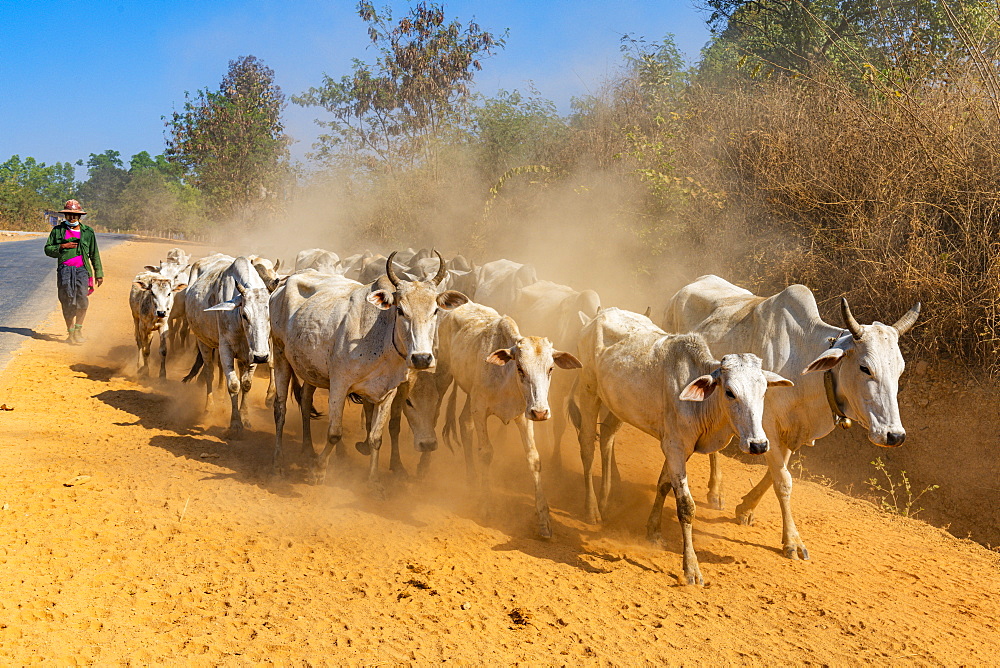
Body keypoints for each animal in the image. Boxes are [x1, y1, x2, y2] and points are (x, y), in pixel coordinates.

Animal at [266, 250, 468, 490]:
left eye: (435, 310)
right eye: (400, 310)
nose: (422, 358)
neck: (382, 339)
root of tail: (285, 281)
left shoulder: (387, 393)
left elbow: (376, 437)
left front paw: (373, 481)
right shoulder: (339, 385)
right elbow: (334, 433)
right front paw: (319, 471)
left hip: (309, 369)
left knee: (305, 402)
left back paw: (308, 450)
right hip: (280, 354)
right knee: (280, 410)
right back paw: (277, 463)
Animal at [436, 302, 584, 536]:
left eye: (551, 368)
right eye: (520, 368)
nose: (541, 412)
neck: (506, 379)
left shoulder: (524, 416)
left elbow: (534, 458)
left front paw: (544, 521)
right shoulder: (480, 409)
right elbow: (486, 453)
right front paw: (486, 505)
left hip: (470, 397)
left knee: (464, 423)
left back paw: (471, 480)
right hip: (445, 374)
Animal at [576, 310, 792, 584]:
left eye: (764, 391)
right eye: (730, 392)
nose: (758, 444)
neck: (702, 404)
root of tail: (598, 315)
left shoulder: (675, 447)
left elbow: (663, 484)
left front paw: (653, 531)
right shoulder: (675, 447)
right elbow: (686, 507)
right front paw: (691, 568)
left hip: (617, 406)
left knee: (606, 436)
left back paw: (606, 499)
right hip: (588, 392)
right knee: (586, 446)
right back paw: (592, 508)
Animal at [664, 274, 920, 560]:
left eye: (900, 370)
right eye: (865, 368)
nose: (894, 435)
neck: (801, 362)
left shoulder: (788, 433)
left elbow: (776, 474)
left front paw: (746, 509)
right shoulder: (765, 428)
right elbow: (783, 482)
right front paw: (792, 541)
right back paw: (715, 490)